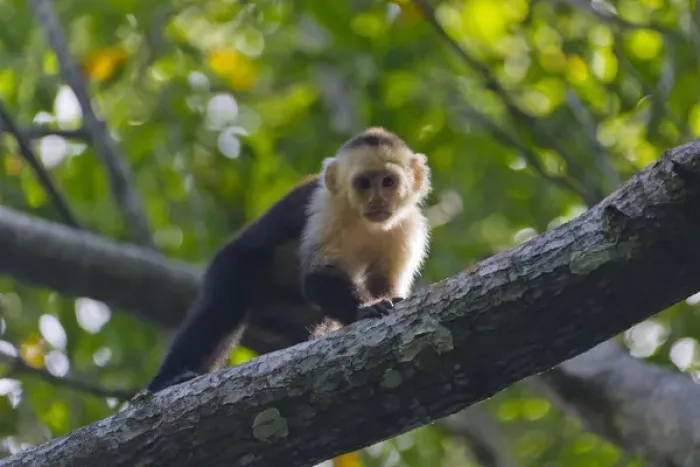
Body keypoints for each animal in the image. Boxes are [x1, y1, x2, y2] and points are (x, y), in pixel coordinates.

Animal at [146, 127, 431, 392]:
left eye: (388, 181)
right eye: (364, 184)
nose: (377, 200)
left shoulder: (408, 226)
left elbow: (385, 284)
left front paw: (386, 298)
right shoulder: (328, 209)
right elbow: (318, 277)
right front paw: (364, 308)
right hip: (234, 262)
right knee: (223, 305)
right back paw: (168, 379)